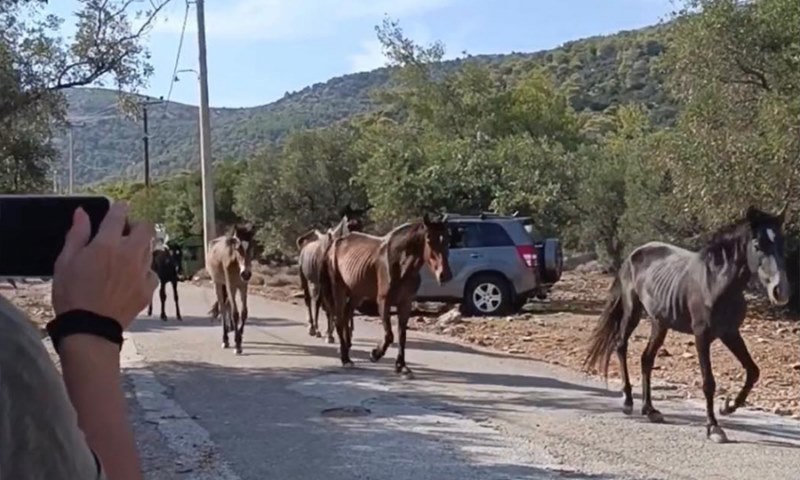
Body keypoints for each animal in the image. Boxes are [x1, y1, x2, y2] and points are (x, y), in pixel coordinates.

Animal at [206, 222, 256, 354]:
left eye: (251, 247)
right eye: (238, 248)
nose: (246, 273)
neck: (235, 262)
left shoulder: (243, 286)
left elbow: (244, 312)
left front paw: (240, 335)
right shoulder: (231, 286)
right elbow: (235, 313)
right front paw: (237, 345)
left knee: (227, 305)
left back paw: (231, 330)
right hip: (218, 284)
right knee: (223, 309)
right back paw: (225, 339)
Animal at [296, 213, 365, 344]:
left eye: (362, 228)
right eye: (349, 227)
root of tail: (304, 245)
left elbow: (343, 309)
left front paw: (340, 332)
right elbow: (330, 308)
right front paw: (329, 335)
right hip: (305, 279)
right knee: (310, 300)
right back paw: (313, 328)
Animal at [319, 213, 452, 377]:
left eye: (447, 239)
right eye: (428, 239)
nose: (445, 275)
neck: (399, 265)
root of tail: (335, 244)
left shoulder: (405, 303)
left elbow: (402, 335)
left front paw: (401, 366)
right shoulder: (384, 302)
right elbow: (389, 335)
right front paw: (375, 354)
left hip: (357, 293)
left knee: (346, 315)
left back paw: (346, 349)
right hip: (339, 290)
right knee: (339, 320)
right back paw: (345, 358)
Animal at [582, 205, 790, 443]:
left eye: (781, 243)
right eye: (757, 245)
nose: (780, 291)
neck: (716, 282)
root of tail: (633, 255)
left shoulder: (730, 333)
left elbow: (753, 371)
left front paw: (727, 407)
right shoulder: (702, 335)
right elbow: (708, 382)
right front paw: (713, 427)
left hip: (660, 323)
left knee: (646, 359)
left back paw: (650, 410)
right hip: (632, 312)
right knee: (620, 345)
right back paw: (628, 402)